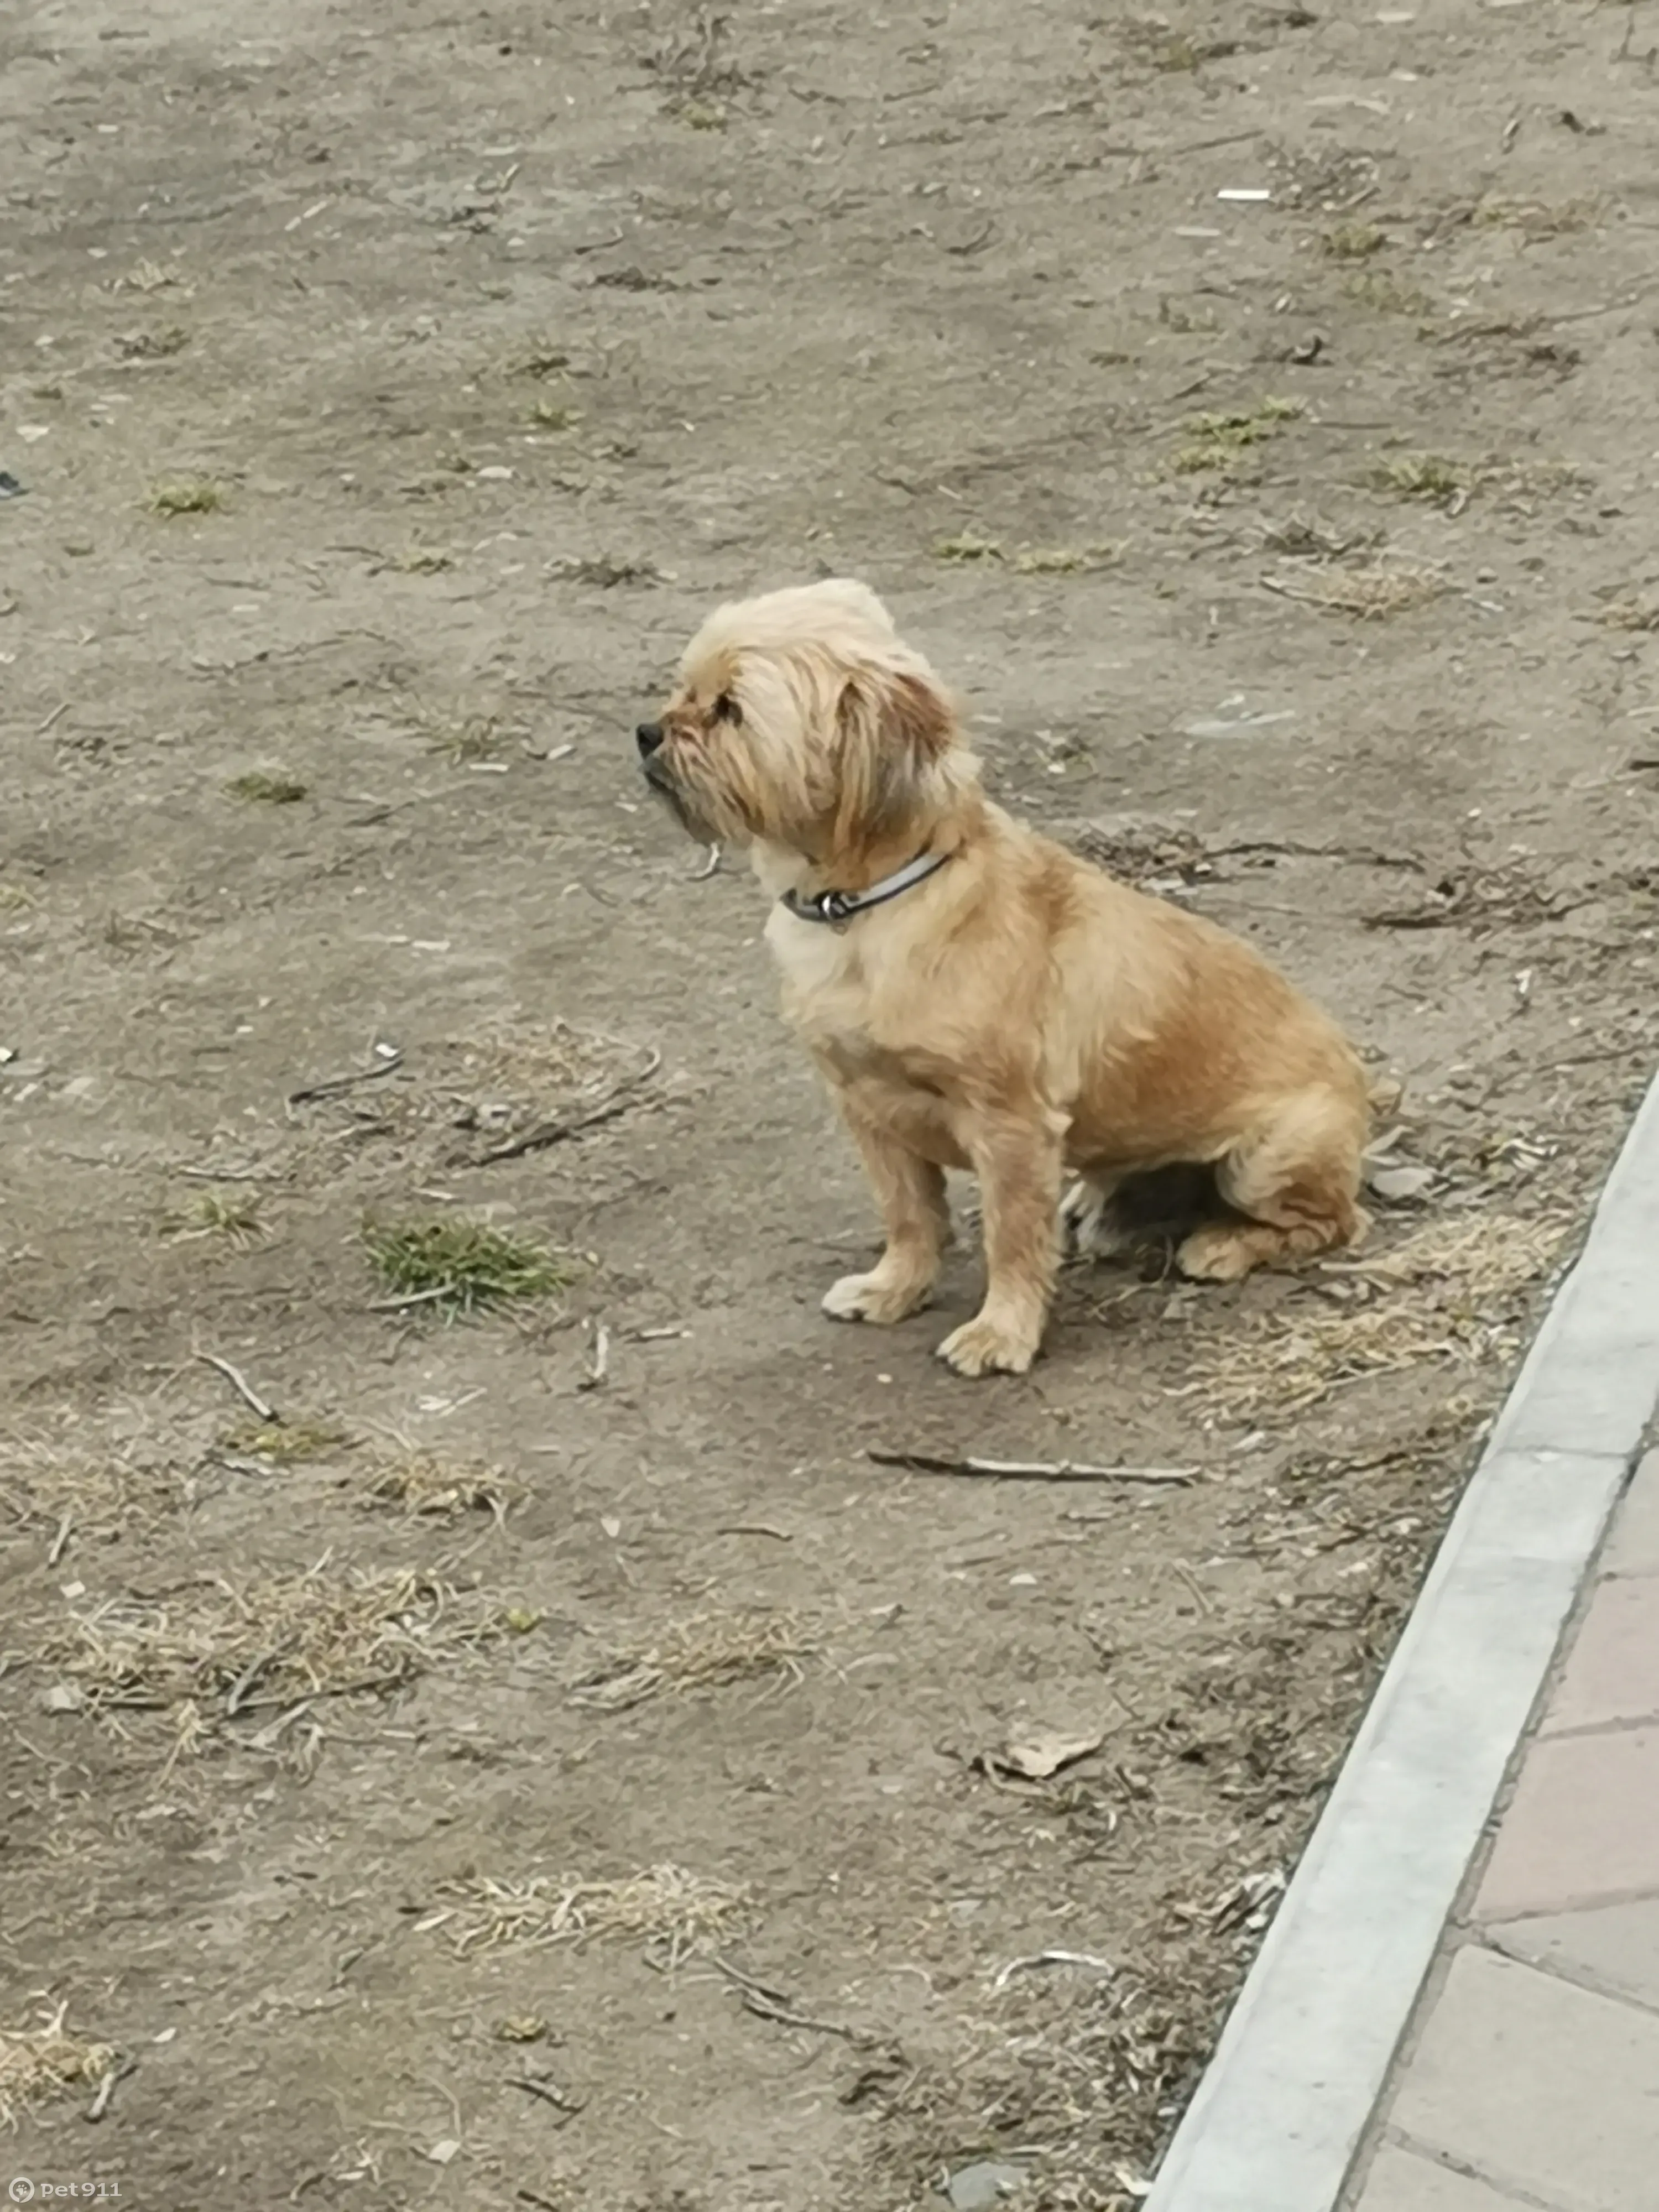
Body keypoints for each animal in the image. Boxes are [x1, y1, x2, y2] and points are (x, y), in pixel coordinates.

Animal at [637, 580, 1380, 1371]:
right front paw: (895, 1288)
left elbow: (1012, 1240)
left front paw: (1002, 1332)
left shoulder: (1009, 1127)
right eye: (686, 689)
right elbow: (909, 1215)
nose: (647, 732)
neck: (866, 910)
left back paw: (1227, 1245)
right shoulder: (869, 1112)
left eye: (730, 710)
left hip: (1266, 1159)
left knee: (1335, 1222)